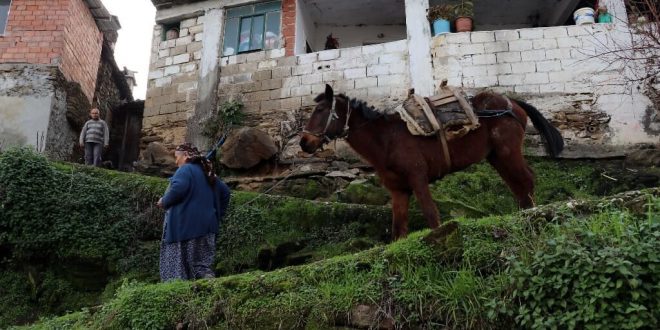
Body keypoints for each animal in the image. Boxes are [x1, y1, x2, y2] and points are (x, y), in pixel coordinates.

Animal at [300, 85, 564, 240]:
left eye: (321, 110)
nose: (304, 142)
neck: (387, 139)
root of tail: (514, 103)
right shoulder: (399, 191)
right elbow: (398, 229)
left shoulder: (418, 179)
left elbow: (431, 214)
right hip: (498, 157)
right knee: (519, 185)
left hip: (507, 152)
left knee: (526, 181)